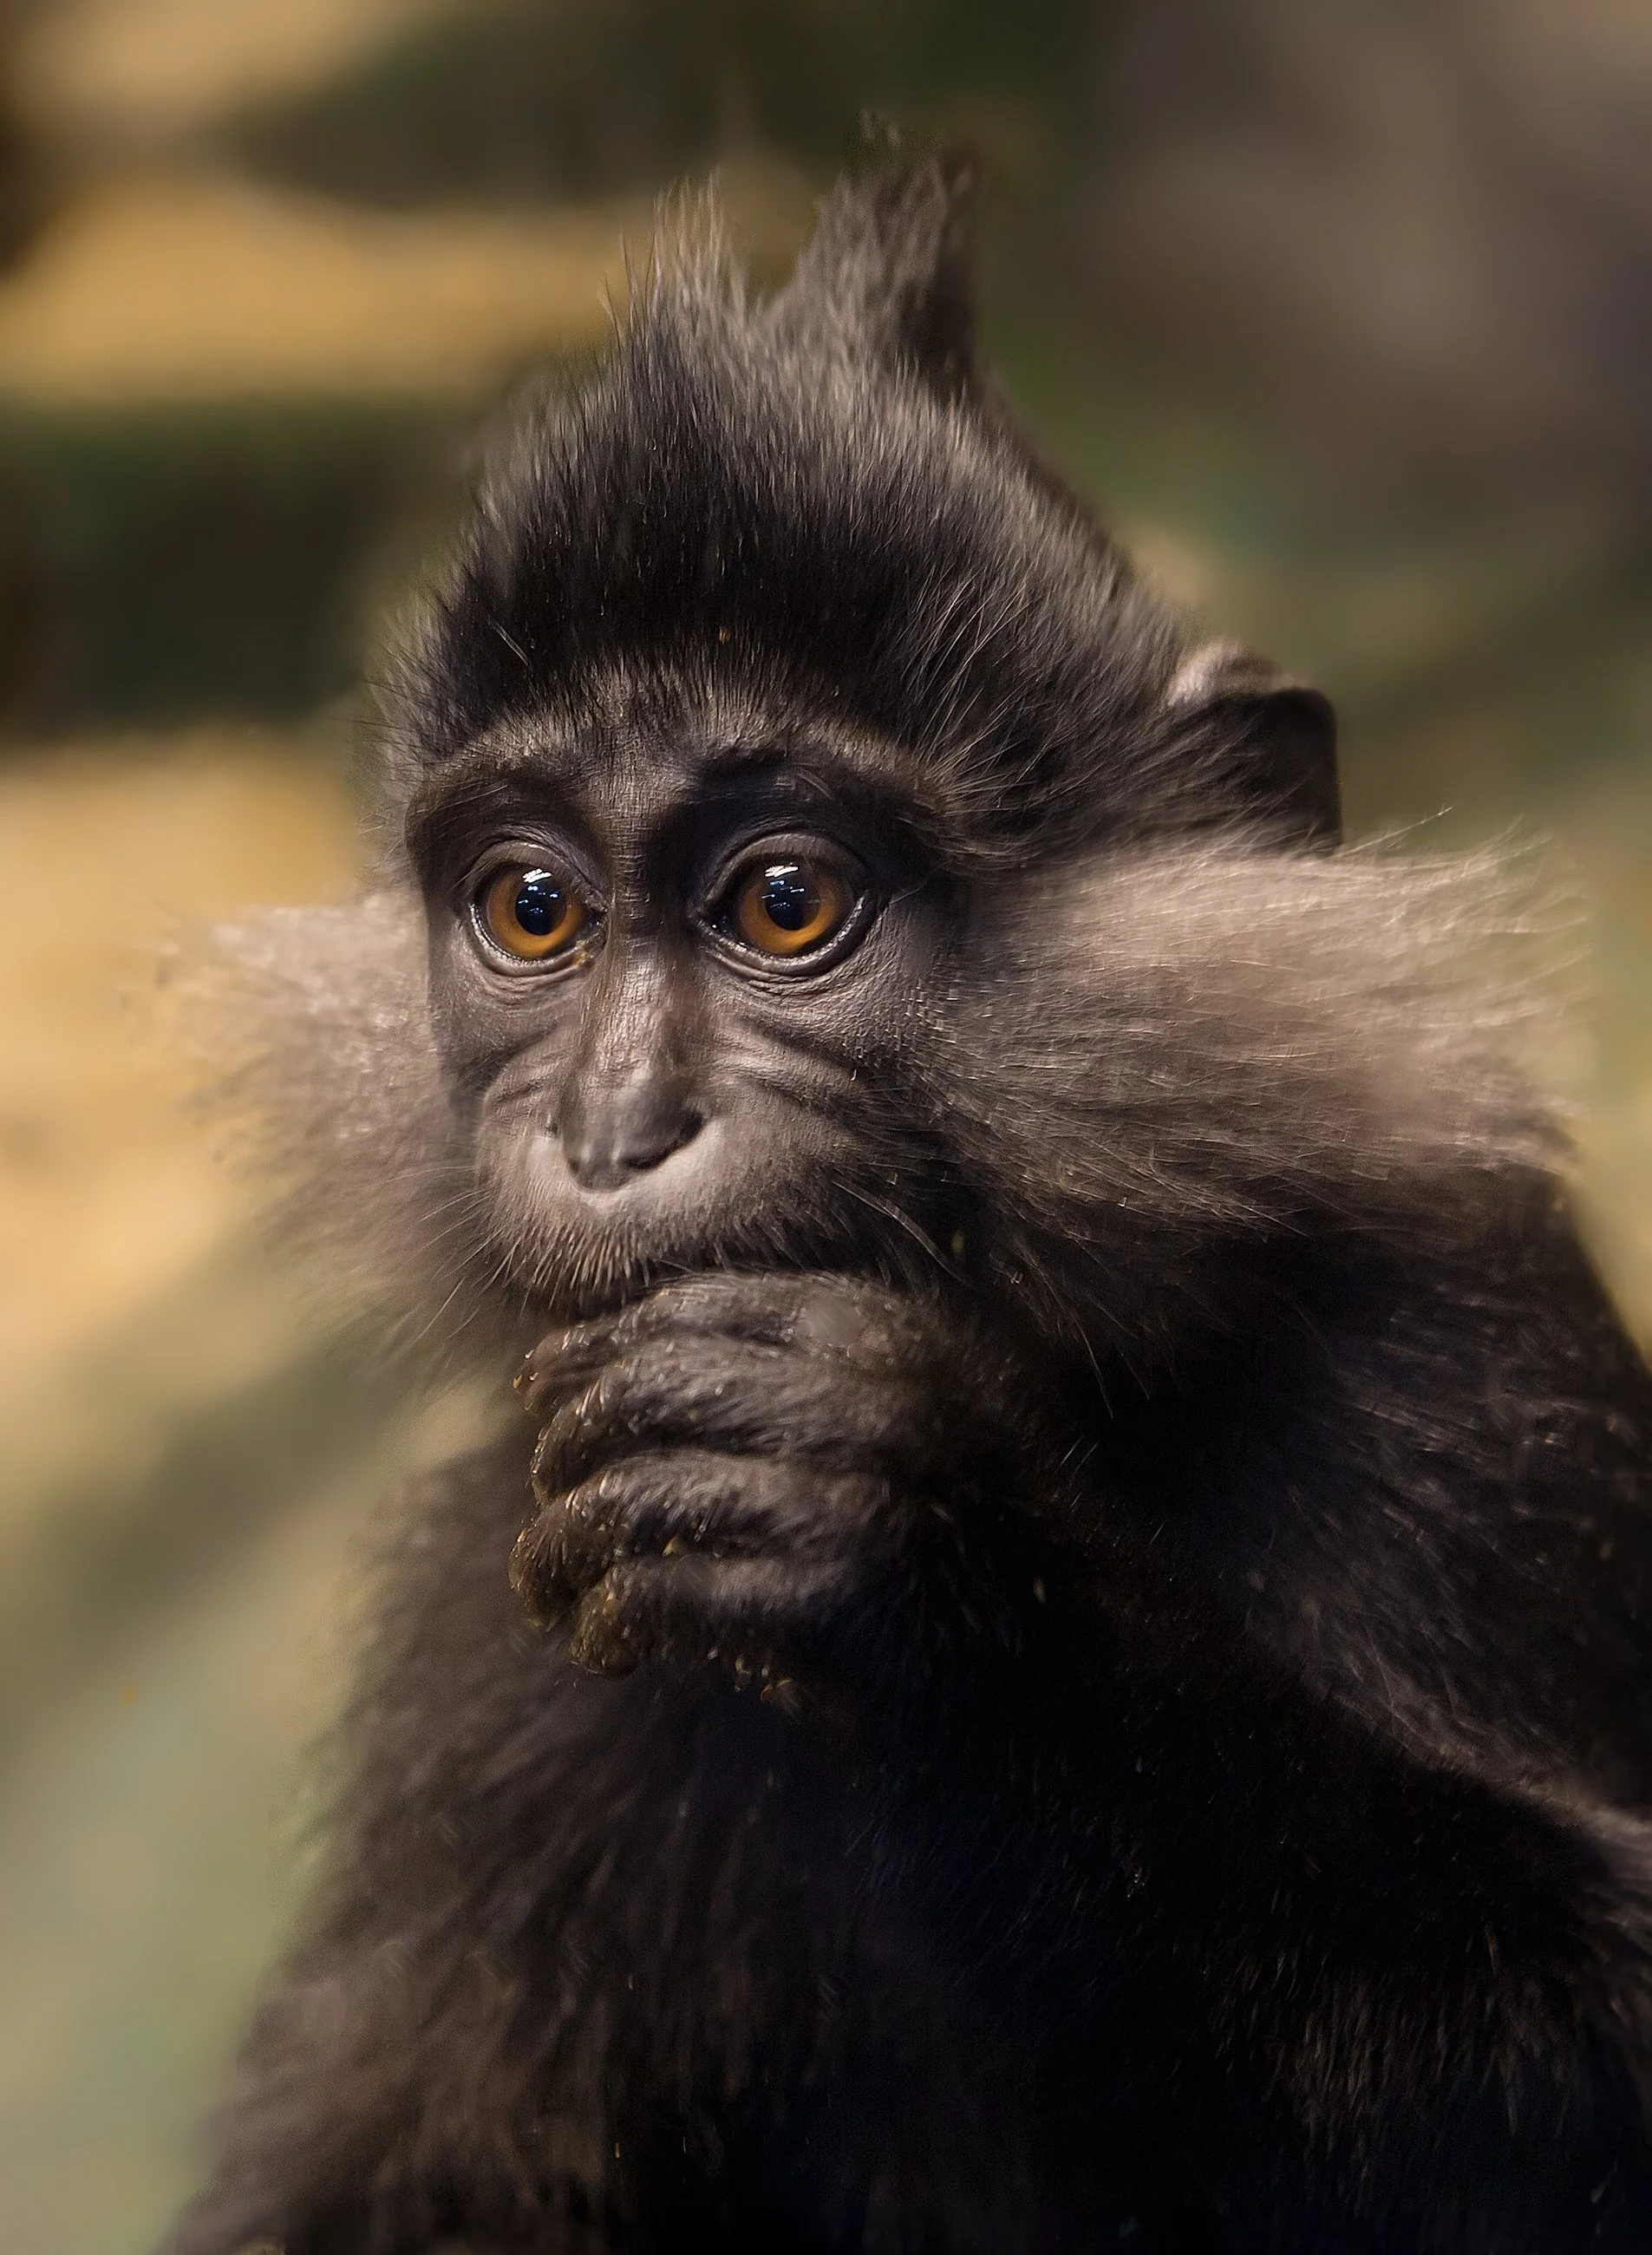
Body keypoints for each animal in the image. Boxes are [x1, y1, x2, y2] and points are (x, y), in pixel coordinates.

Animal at [167, 161, 1652, 2254]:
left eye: (785, 902)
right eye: (532, 910)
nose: (613, 1129)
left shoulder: (1465, 1363)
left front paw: (937, 1557)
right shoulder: (488, 1607)